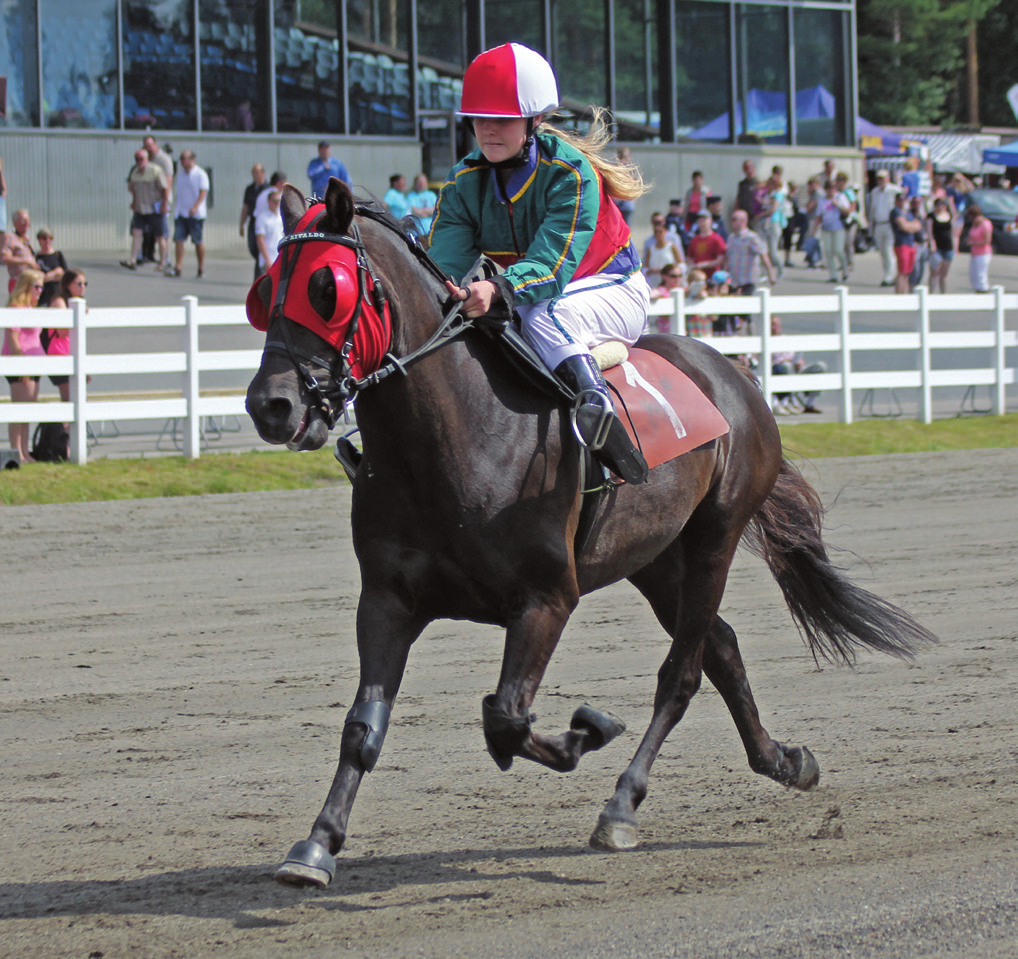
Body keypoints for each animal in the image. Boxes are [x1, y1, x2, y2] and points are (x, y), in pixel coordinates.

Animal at [242, 176, 932, 887]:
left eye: (326, 288)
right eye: (264, 291)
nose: (271, 406)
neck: (453, 438)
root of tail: (736, 373)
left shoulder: (547, 598)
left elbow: (506, 718)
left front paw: (589, 730)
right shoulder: (386, 600)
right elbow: (364, 728)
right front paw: (316, 845)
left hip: (715, 536)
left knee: (683, 673)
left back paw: (623, 806)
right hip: (655, 559)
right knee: (721, 648)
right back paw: (784, 760)